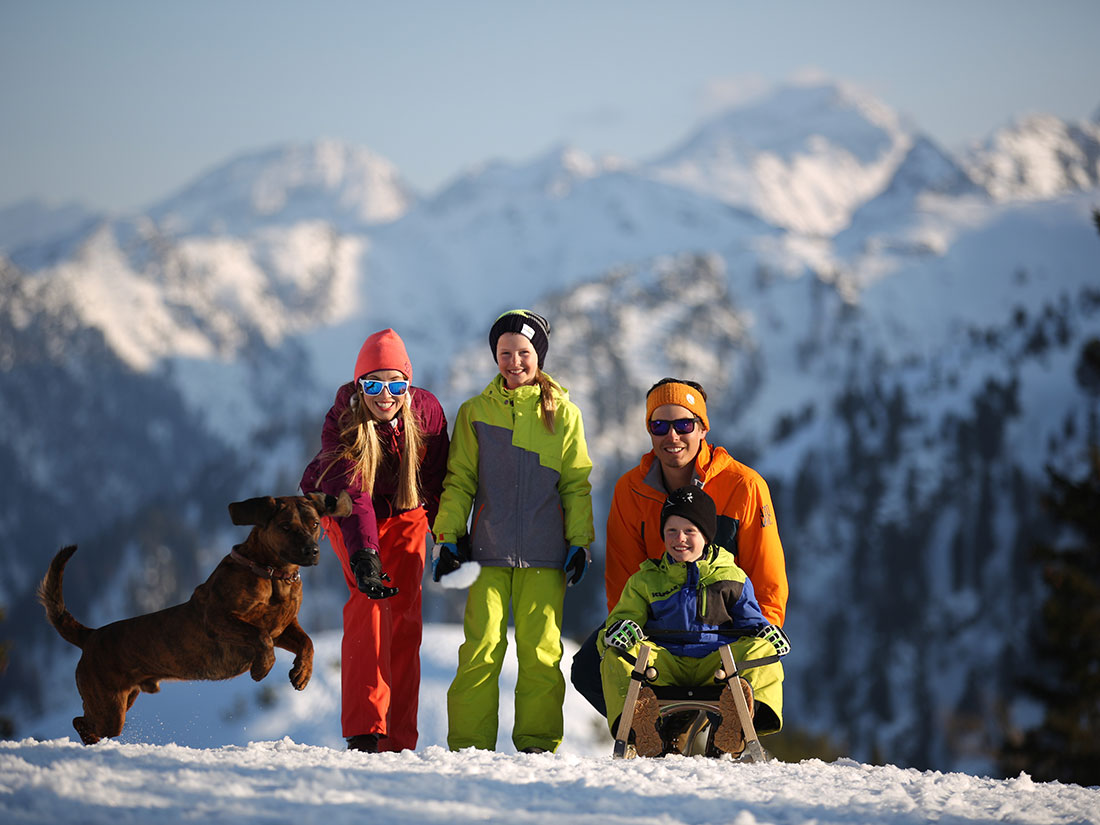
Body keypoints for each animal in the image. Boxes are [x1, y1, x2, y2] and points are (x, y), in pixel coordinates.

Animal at [39, 495, 352, 748]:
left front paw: (302, 673)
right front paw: (261, 668)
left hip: (123, 699)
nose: (312, 551)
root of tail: (91, 636)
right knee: (79, 721)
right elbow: (260, 637)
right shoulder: (217, 618)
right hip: (108, 706)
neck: (274, 575)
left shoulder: (286, 628)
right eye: (286, 526)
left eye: (315, 523)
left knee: (83, 719)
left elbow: (307, 643)